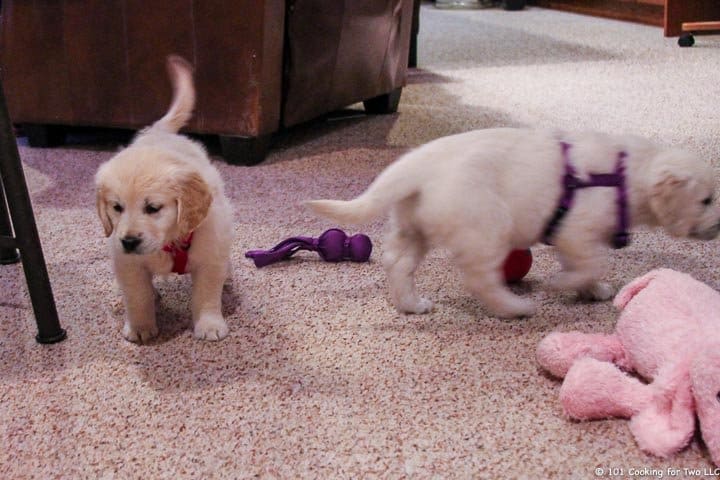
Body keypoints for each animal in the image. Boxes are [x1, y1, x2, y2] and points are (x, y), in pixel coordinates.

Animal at [94, 55, 232, 342]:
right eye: (117, 207)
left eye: (153, 207)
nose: (129, 241)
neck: (169, 243)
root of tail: (157, 132)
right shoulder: (129, 264)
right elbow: (138, 296)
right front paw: (140, 327)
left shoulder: (210, 254)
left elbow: (206, 294)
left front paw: (209, 325)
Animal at [306, 127, 720, 318]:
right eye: (706, 199)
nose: (718, 226)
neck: (620, 176)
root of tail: (415, 167)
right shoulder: (577, 232)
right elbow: (589, 263)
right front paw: (562, 284)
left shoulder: (574, 238)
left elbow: (587, 267)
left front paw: (593, 290)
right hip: (487, 229)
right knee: (480, 280)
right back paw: (514, 307)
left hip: (414, 225)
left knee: (398, 263)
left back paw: (411, 304)